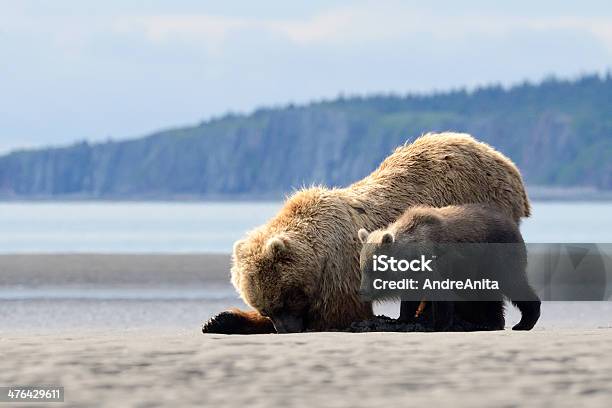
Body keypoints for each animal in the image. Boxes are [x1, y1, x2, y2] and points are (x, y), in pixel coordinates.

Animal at [358, 204, 540, 332]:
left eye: (374, 269)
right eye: (362, 268)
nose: (363, 291)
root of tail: (512, 223)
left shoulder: (438, 262)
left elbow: (441, 295)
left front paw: (436, 325)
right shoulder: (414, 274)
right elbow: (410, 298)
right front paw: (400, 319)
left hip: (497, 255)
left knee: (512, 283)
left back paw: (524, 321)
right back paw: (492, 323)